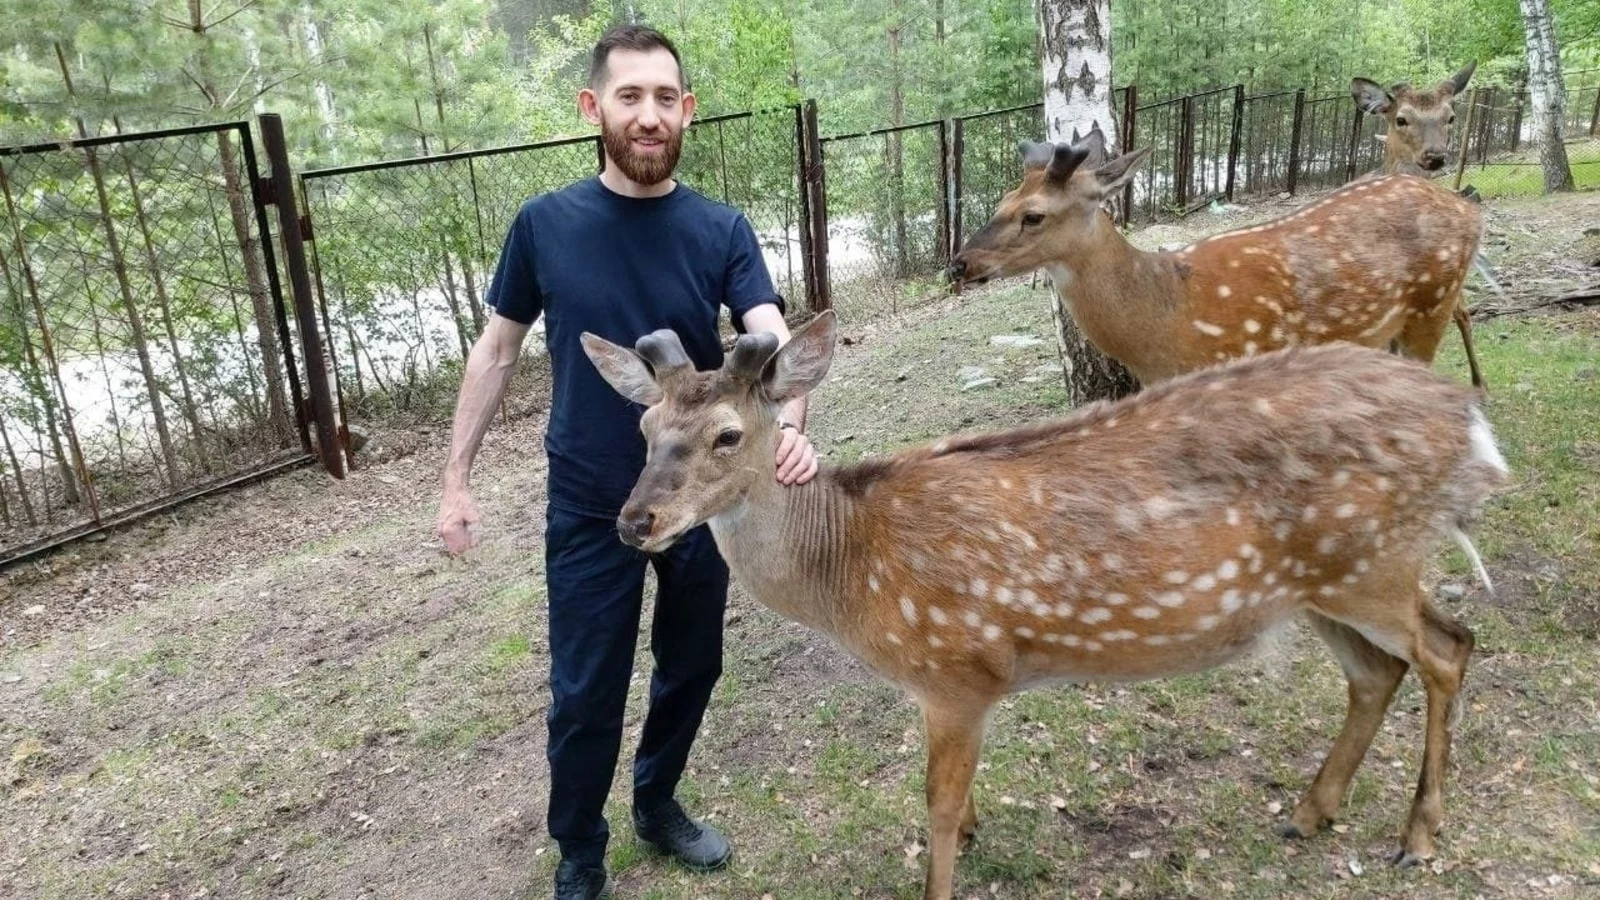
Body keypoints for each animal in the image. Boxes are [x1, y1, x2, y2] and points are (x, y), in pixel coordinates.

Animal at [582, 307, 1504, 896]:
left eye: (728, 435)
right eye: (644, 429)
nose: (635, 520)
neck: (855, 574)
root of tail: (1467, 418)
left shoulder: (959, 668)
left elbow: (935, 805)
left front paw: (944, 873)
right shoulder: (944, 688)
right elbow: (956, 799)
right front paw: (978, 831)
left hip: (1374, 562)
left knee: (1449, 647)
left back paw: (1418, 837)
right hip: (1319, 582)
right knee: (1378, 672)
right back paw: (1310, 814)